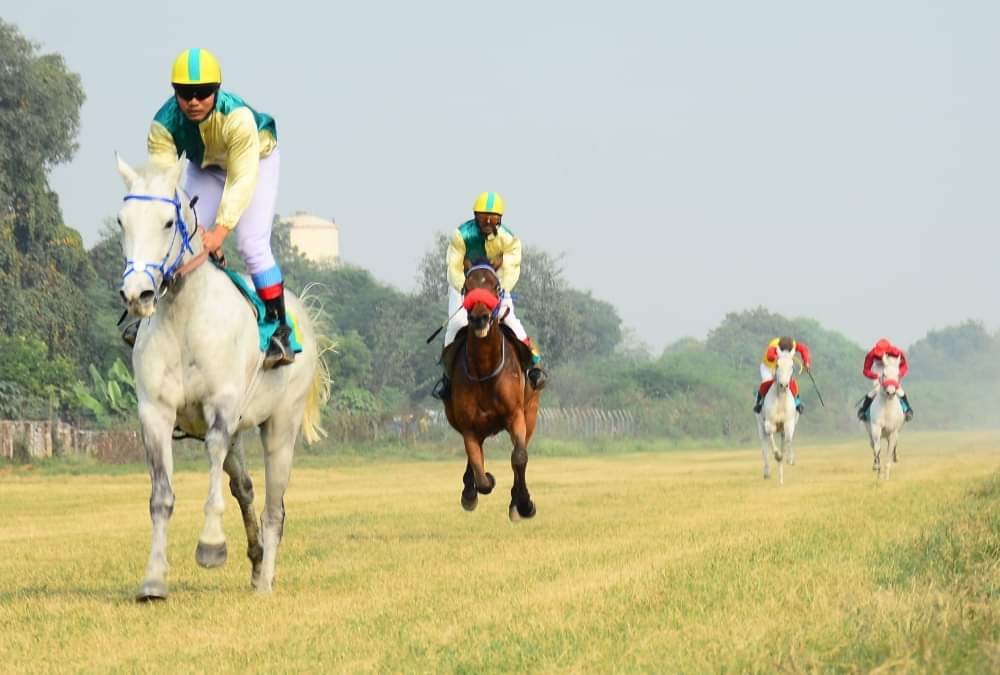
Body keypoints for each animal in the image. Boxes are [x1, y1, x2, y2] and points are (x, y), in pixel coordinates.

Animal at [115, 154, 329, 599]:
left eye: (167, 222)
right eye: (121, 221)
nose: (137, 295)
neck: (185, 318)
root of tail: (303, 314)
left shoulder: (221, 409)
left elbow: (213, 473)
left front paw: (211, 546)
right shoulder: (155, 413)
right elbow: (161, 497)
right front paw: (153, 580)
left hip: (280, 426)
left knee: (273, 508)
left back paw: (265, 581)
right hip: (241, 433)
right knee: (244, 487)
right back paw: (256, 561)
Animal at [441, 263, 541, 521]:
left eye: (495, 286)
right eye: (466, 288)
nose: (479, 318)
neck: (485, 369)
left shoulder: (516, 415)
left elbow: (519, 457)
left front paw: (524, 504)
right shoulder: (467, 425)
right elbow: (480, 473)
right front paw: (476, 489)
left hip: (530, 413)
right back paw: (469, 490)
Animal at [756, 348, 799, 485]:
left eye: (792, 366)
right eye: (777, 365)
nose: (783, 385)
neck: (780, 402)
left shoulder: (788, 424)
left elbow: (788, 440)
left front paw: (789, 459)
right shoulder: (769, 424)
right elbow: (773, 446)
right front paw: (778, 456)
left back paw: (781, 479)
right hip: (760, 427)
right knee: (764, 448)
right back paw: (767, 473)